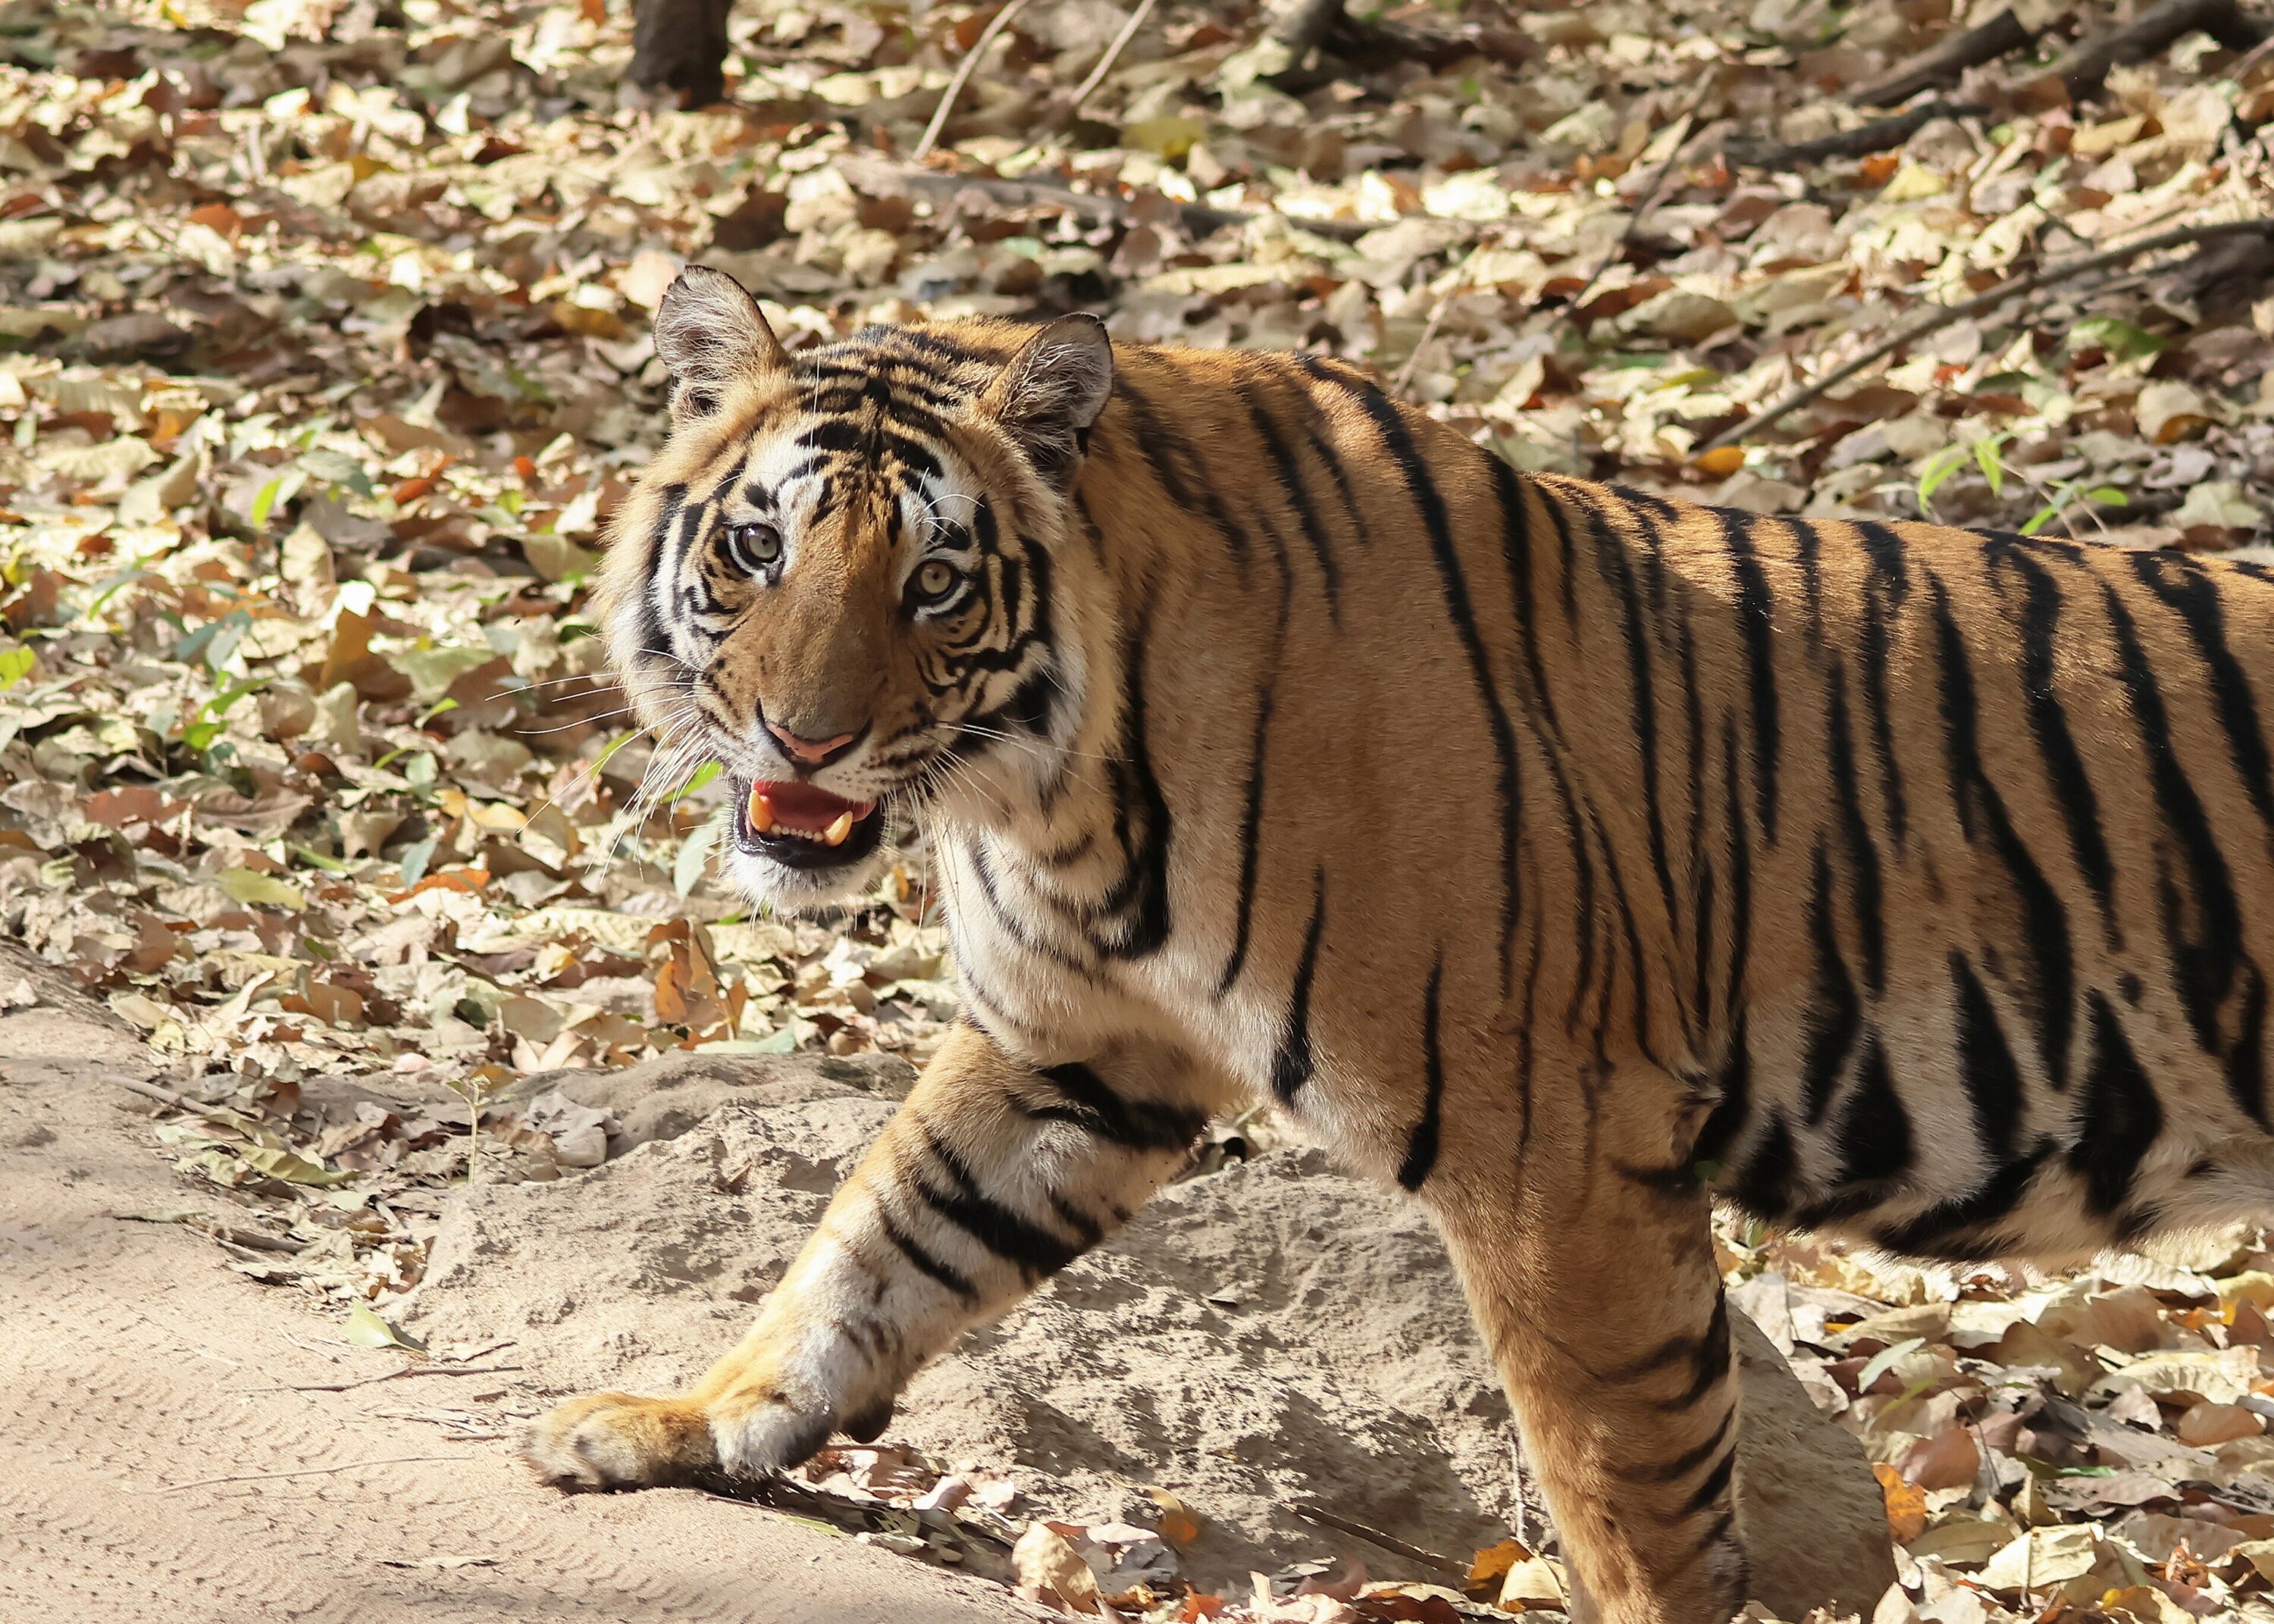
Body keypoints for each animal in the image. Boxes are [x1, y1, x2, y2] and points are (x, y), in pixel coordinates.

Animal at [523, 263, 2274, 1623]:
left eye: (937, 580)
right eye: (758, 548)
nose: (805, 740)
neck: (1058, 795)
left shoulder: (1560, 1149)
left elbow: (1629, 1491)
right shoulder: (1072, 1051)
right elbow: (872, 1245)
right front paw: (681, 1423)